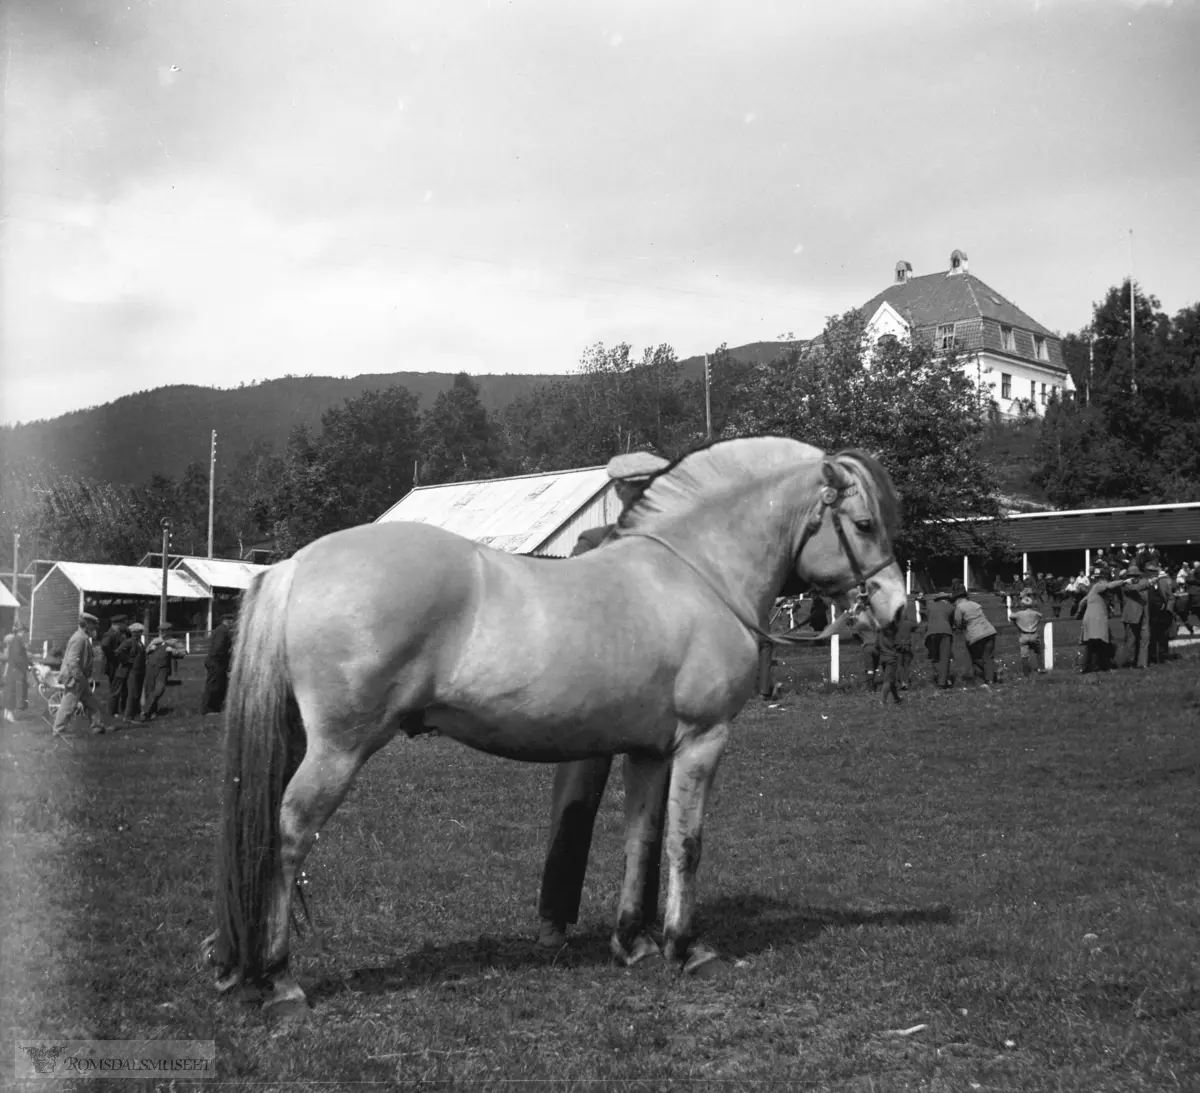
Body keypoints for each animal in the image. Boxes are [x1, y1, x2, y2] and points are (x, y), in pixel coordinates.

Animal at [204, 434, 902, 1017]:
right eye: (864, 524)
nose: (895, 609)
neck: (693, 574)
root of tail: (295, 565)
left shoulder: (649, 751)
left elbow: (642, 839)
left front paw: (632, 943)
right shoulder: (703, 740)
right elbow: (686, 843)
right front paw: (686, 949)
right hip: (338, 750)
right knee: (288, 834)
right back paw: (280, 981)